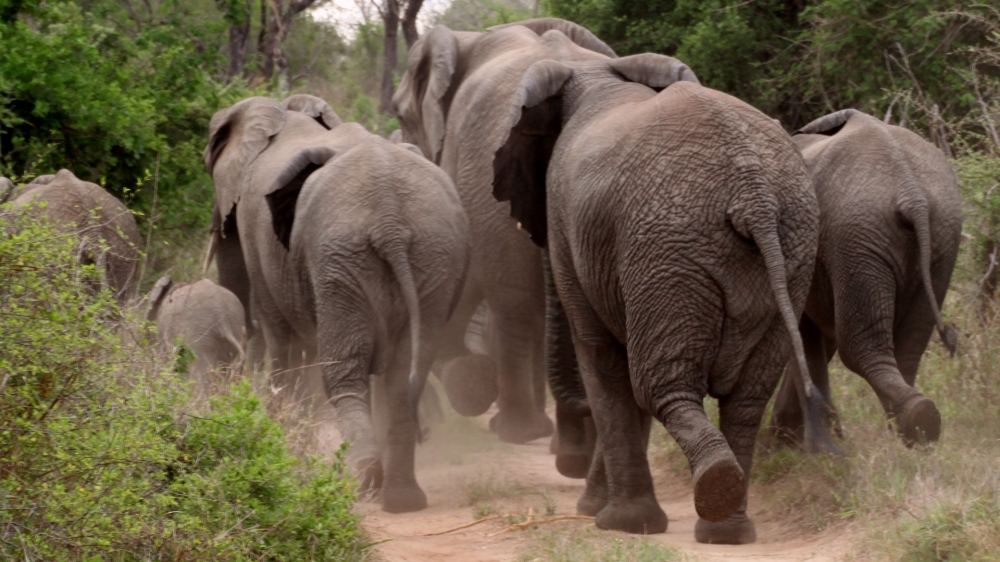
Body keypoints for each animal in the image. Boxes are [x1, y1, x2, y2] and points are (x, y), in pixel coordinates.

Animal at [205, 96, 470, 512]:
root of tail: (391, 224)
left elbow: (284, 343)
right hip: (432, 257)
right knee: (401, 377)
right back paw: (400, 499)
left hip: (340, 261)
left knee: (343, 372)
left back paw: (364, 478)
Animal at [480, 43, 840, 544]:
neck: (597, 75)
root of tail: (754, 193)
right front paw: (606, 512)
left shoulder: (570, 222)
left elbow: (602, 359)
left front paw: (614, 521)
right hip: (789, 249)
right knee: (745, 398)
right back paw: (726, 529)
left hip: (670, 252)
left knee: (660, 385)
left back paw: (705, 500)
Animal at [768, 109, 964, 446]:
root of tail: (912, 194)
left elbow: (806, 338)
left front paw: (803, 445)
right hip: (938, 238)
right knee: (910, 345)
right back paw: (912, 429)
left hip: (857, 236)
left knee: (859, 348)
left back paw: (911, 424)